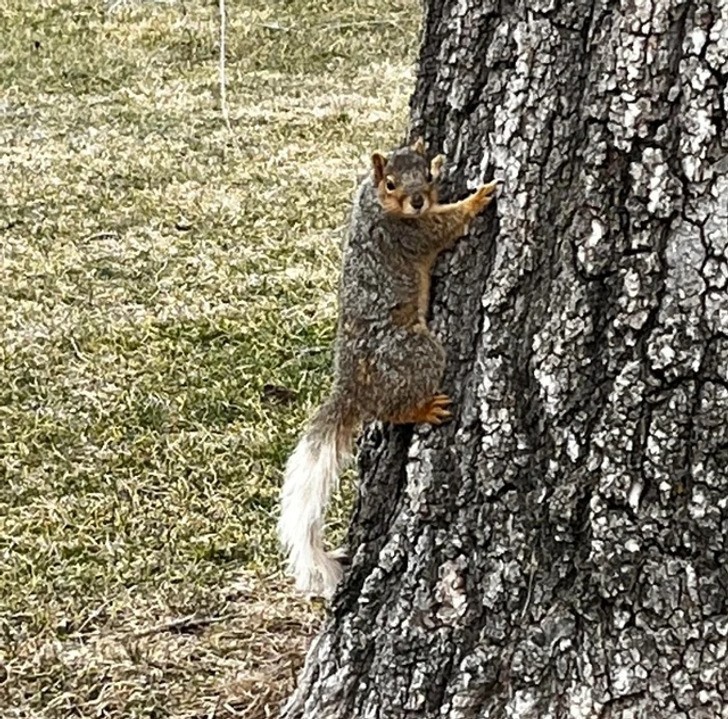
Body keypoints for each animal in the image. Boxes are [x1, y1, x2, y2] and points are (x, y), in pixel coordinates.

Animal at [278, 138, 500, 600]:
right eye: (392, 182)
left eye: (425, 176)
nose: (418, 200)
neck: (381, 205)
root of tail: (351, 386)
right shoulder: (410, 234)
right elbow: (444, 225)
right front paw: (477, 199)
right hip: (417, 351)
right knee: (392, 410)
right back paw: (423, 409)